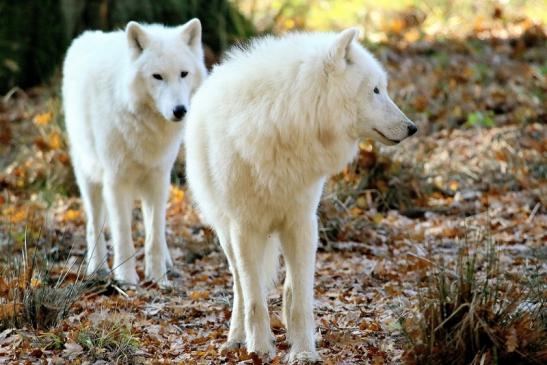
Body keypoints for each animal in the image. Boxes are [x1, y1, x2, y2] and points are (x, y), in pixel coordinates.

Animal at [63, 18, 209, 282]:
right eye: (157, 76)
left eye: (184, 73)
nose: (180, 110)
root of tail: (86, 36)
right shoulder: (116, 181)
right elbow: (123, 234)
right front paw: (127, 279)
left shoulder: (159, 178)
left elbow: (155, 235)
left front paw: (159, 279)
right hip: (89, 178)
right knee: (94, 225)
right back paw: (97, 268)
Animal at [186, 29, 418, 362]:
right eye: (375, 90)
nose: (413, 128)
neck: (283, 122)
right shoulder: (245, 227)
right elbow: (254, 299)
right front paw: (259, 349)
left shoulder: (302, 222)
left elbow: (302, 301)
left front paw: (304, 351)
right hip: (226, 232)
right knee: (240, 287)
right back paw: (235, 339)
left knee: (289, 287)